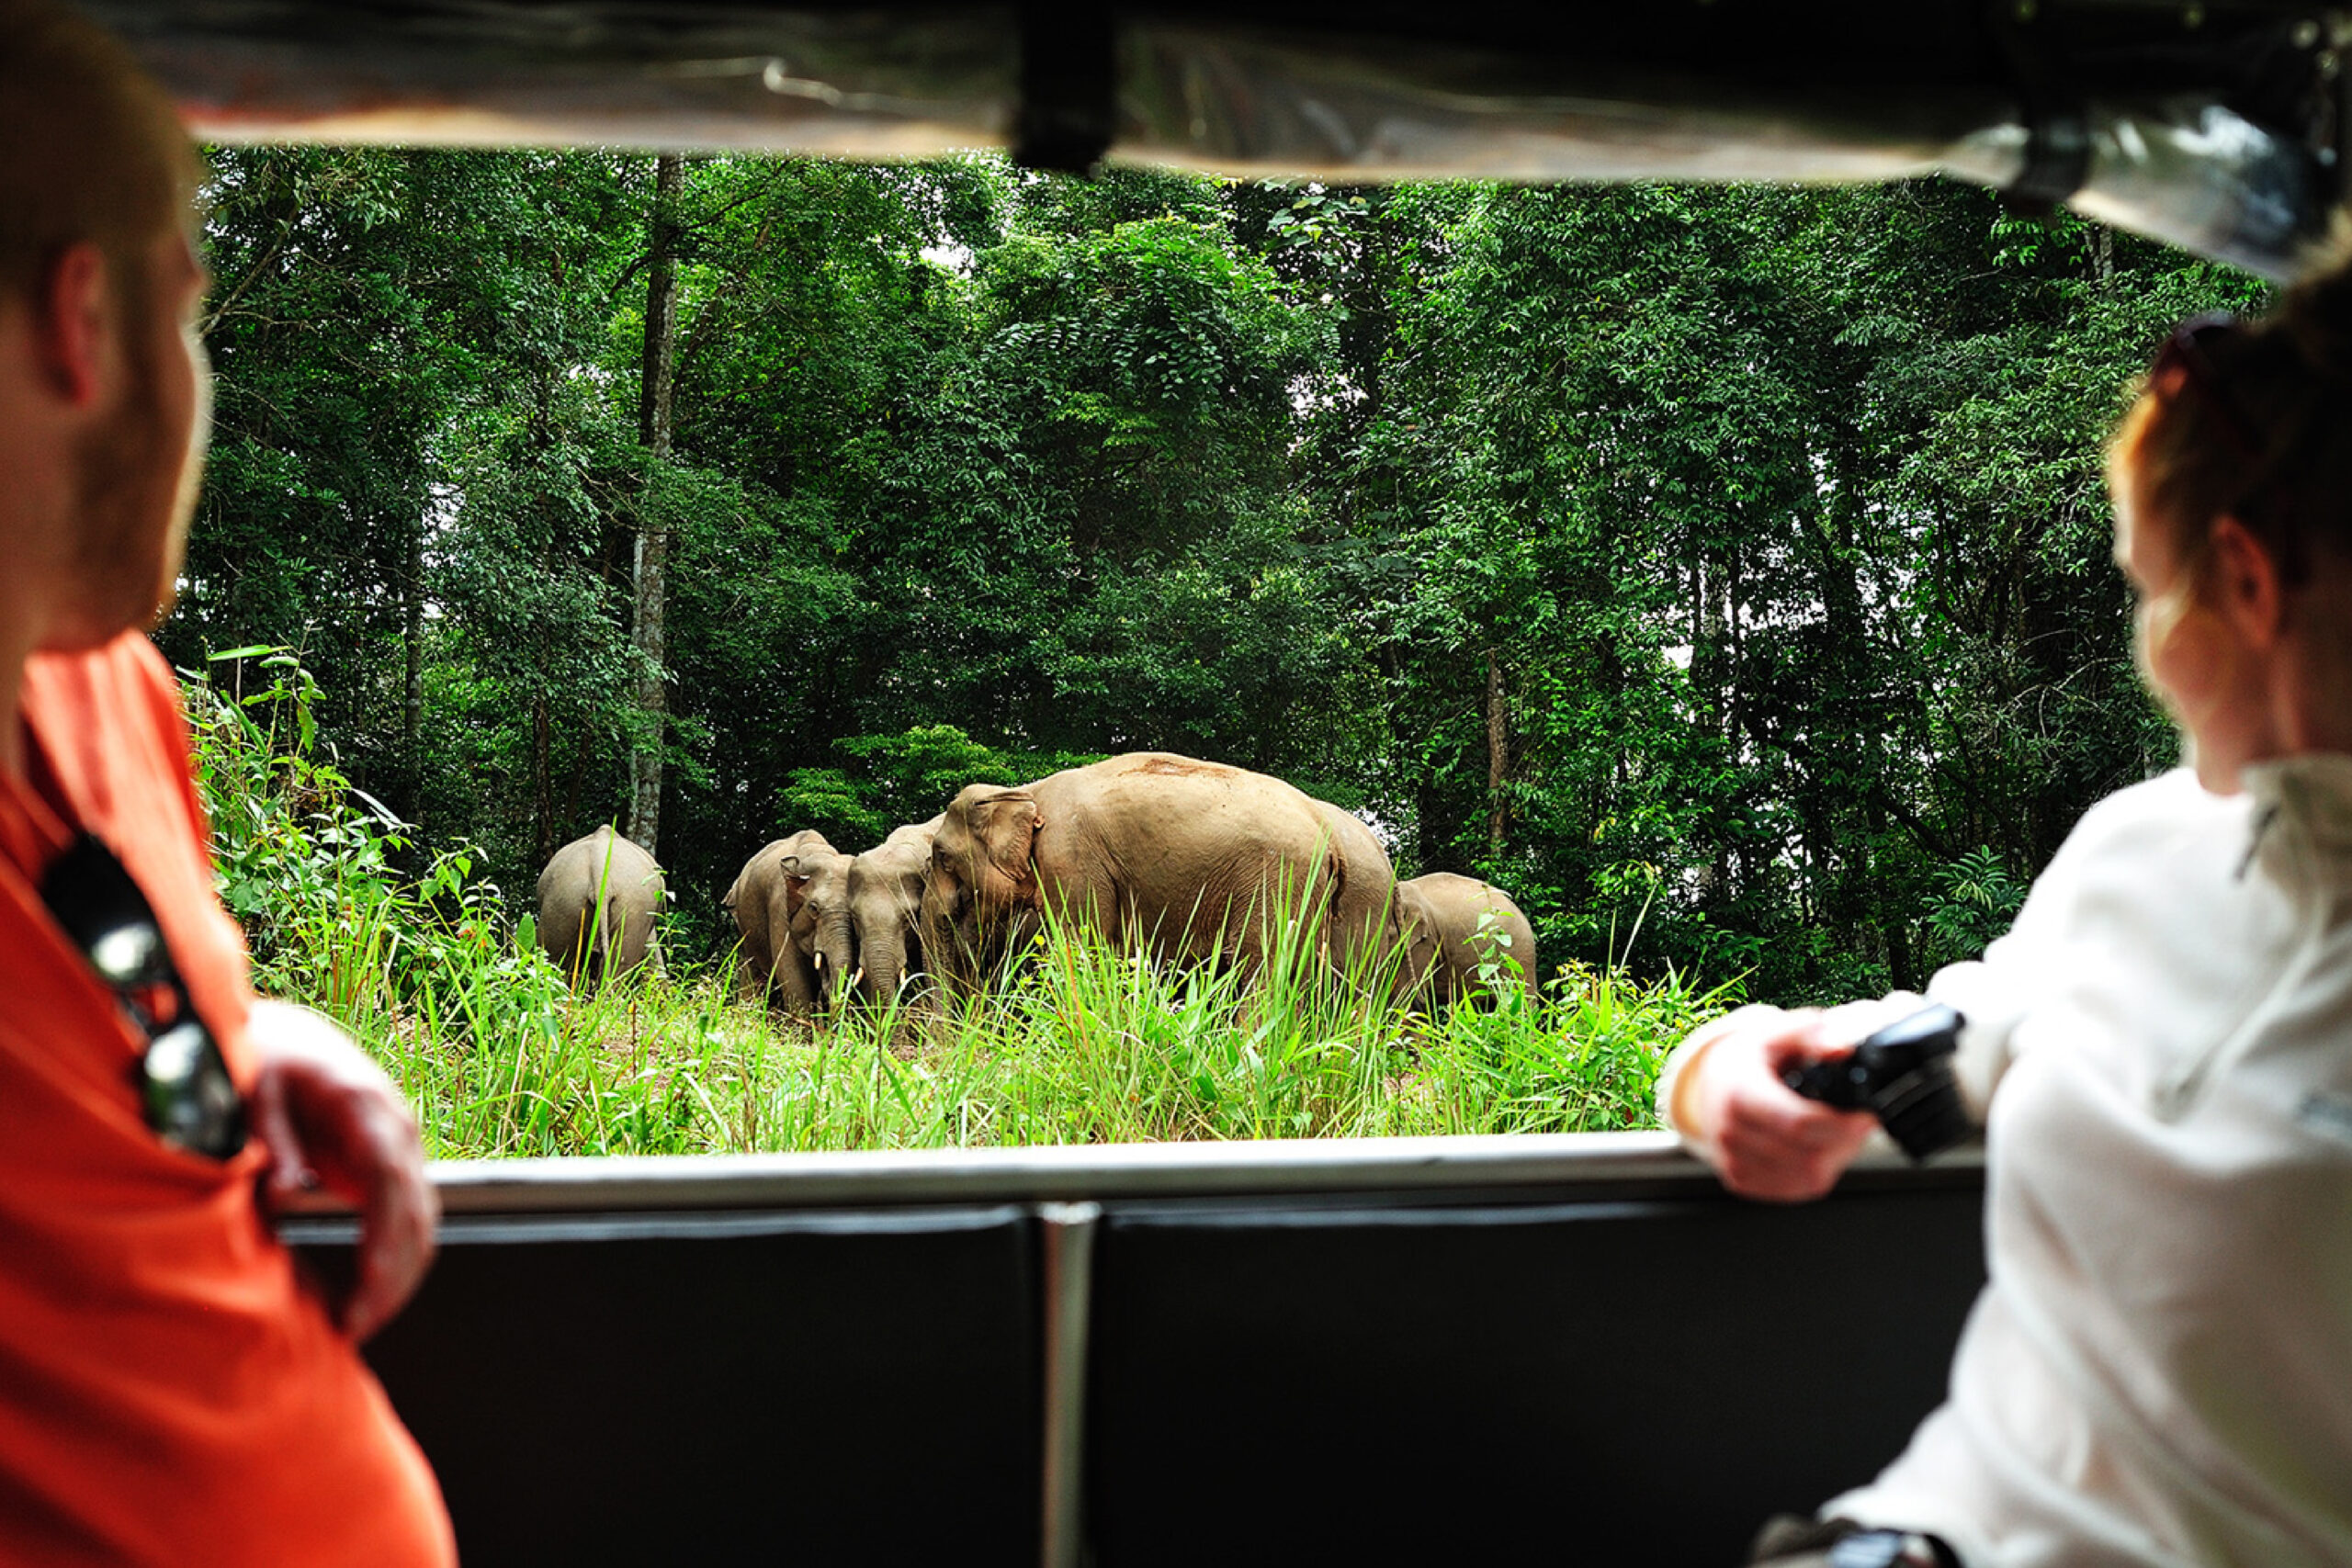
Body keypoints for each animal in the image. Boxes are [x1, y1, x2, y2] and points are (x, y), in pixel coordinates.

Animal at [917, 751, 1363, 991]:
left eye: (942, 856)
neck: (1027, 790)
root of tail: (1329, 837)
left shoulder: (1071, 858)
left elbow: (1082, 946)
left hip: (1280, 877)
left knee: (1264, 971)